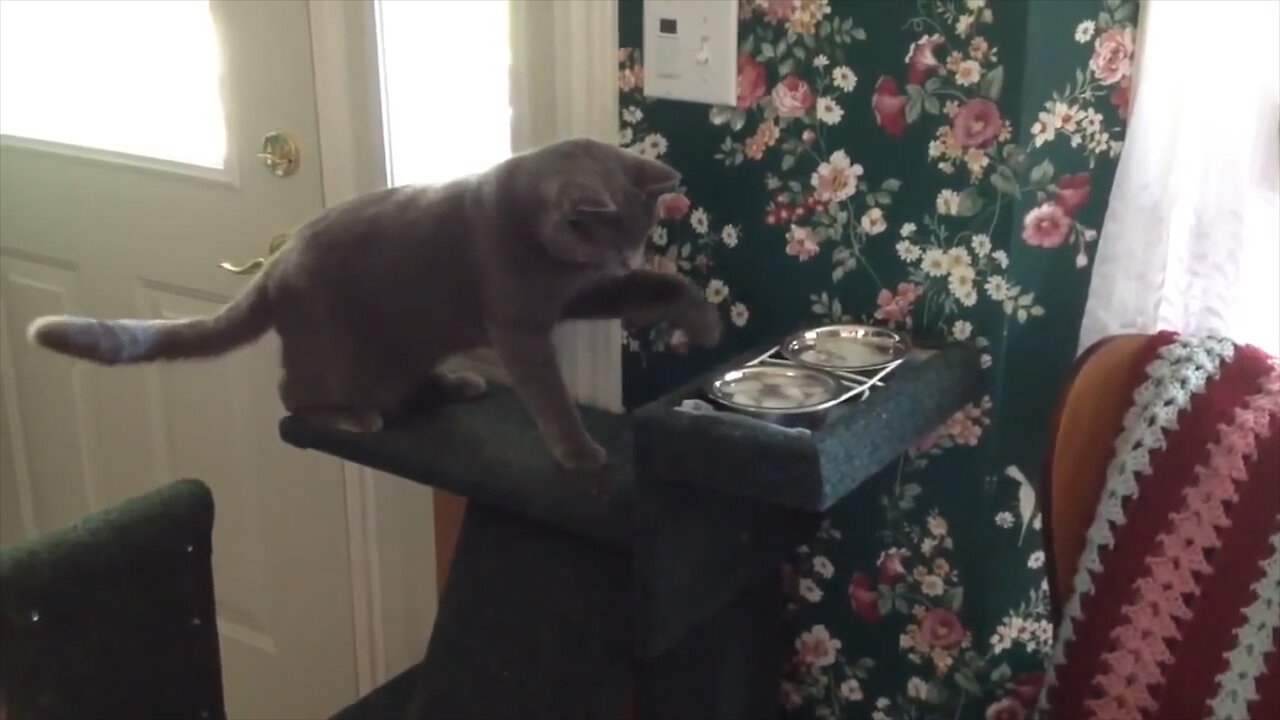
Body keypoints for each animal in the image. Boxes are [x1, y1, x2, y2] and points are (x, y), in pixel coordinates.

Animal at [24, 137, 721, 468]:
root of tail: (273, 268)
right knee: (293, 394)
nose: (626, 258)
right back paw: (351, 416)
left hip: (407, 348)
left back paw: (456, 383)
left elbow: (661, 287)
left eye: (640, 235)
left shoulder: (579, 291)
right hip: (341, 352)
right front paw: (579, 452)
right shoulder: (519, 323)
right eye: (609, 235)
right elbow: (549, 393)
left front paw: (703, 322)